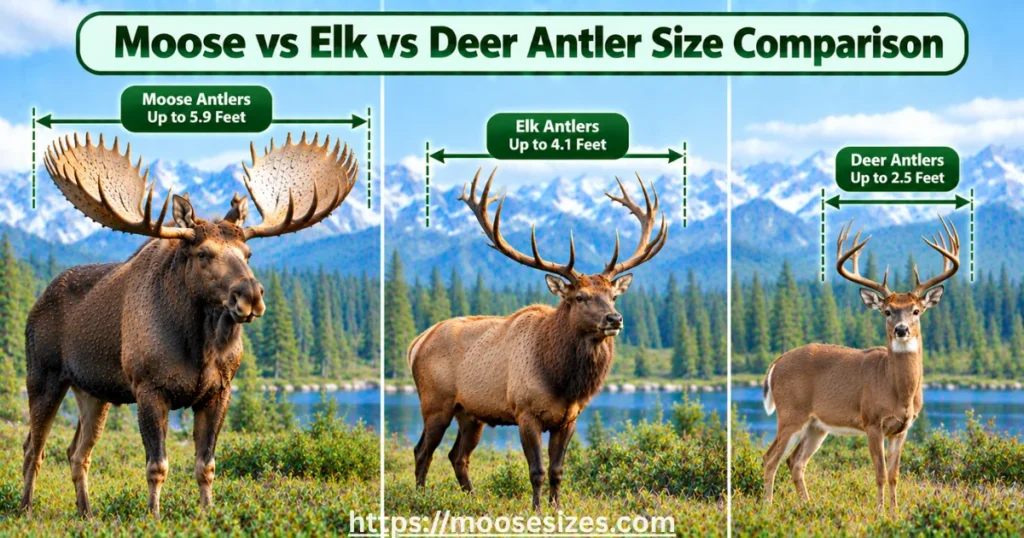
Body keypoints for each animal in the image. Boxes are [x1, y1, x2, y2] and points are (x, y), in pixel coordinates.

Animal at [21, 132, 356, 518]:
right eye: (203, 253)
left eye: (248, 253)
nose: (250, 295)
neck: (200, 347)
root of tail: (35, 303)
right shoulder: (148, 389)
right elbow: (157, 465)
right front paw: (153, 516)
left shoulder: (219, 391)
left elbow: (205, 465)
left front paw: (207, 513)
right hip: (44, 376)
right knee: (34, 447)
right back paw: (25, 507)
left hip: (92, 391)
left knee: (77, 453)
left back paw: (86, 513)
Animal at [406, 169, 667, 509]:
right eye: (580, 297)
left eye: (613, 296)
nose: (615, 319)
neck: (562, 381)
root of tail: (417, 342)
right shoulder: (525, 412)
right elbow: (537, 470)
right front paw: (537, 510)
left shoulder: (569, 418)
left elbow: (557, 470)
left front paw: (556, 509)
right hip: (436, 402)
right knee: (423, 451)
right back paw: (420, 498)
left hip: (471, 413)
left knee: (457, 456)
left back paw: (473, 500)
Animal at [761, 215, 960, 514]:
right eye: (887, 311)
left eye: (916, 311)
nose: (901, 330)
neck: (898, 391)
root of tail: (776, 362)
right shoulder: (872, 421)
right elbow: (879, 473)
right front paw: (879, 513)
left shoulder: (903, 428)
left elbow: (894, 475)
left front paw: (895, 513)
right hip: (791, 412)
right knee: (770, 458)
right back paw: (768, 509)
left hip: (816, 425)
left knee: (795, 461)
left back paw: (809, 506)